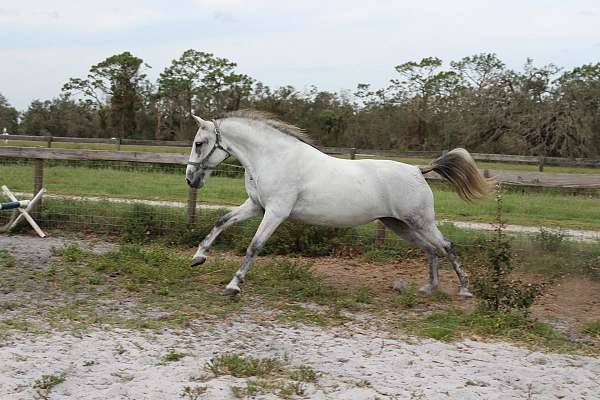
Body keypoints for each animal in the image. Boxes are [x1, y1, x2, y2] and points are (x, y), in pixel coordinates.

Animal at [185, 109, 490, 296]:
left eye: (199, 143)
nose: (190, 179)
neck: (275, 158)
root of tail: (418, 170)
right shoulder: (256, 206)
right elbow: (221, 221)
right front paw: (198, 257)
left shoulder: (275, 212)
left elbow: (254, 246)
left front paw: (233, 285)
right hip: (398, 224)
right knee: (430, 249)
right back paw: (429, 288)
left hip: (419, 221)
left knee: (446, 245)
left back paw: (464, 290)